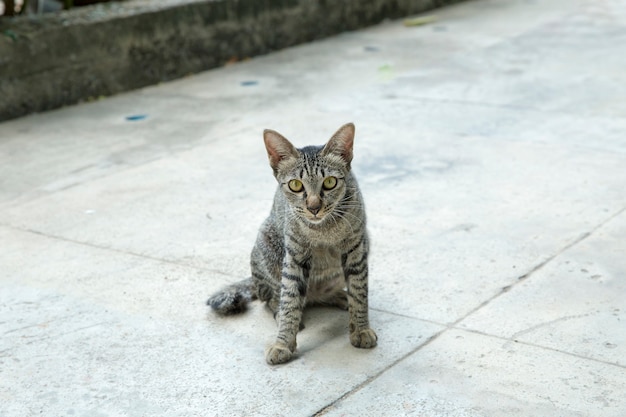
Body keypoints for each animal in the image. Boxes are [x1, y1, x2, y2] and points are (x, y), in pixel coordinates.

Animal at [208, 122, 376, 362]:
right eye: (296, 185)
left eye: (330, 182)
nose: (314, 207)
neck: (323, 230)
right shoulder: (295, 256)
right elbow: (290, 298)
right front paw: (283, 343)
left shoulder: (356, 249)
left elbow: (359, 292)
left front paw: (360, 329)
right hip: (267, 244)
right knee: (270, 297)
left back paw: (338, 296)